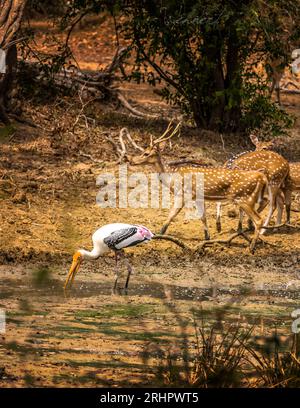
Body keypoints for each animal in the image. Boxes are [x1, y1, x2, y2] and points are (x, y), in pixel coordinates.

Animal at [127, 123, 268, 252]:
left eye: (146, 153)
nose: (131, 160)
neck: (172, 178)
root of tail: (262, 177)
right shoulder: (198, 197)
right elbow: (203, 217)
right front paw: (207, 238)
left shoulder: (183, 194)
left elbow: (171, 214)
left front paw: (159, 234)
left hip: (244, 198)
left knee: (259, 219)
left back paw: (251, 247)